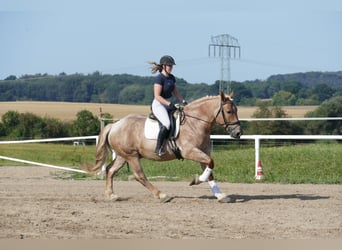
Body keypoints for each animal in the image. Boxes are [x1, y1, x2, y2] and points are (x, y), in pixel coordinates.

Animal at [84, 92, 242, 203]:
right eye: (229, 111)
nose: (238, 133)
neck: (195, 123)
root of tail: (114, 125)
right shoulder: (190, 152)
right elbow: (210, 164)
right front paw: (196, 180)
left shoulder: (202, 152)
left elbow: (209, 170)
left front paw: (220, 195)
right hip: (131, 156)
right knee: (139, 176)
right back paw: (162, 195)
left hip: (123, 156)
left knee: (110, 170)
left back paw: (111, 196)